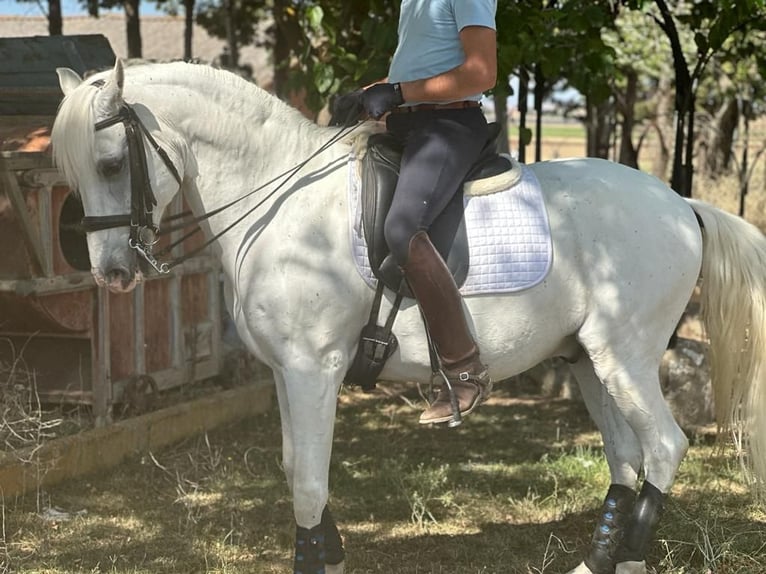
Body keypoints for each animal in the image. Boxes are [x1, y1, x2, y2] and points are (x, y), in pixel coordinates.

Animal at [51, 62, 766, 574]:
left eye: (110, 164)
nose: (112, 274)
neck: (282, 200)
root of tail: (682, 204)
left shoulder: (313, 370)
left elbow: (307, 481)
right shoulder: (287, 372)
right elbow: (294, 468)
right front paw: (330, 556)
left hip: (626, 355)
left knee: (664, 448)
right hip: (590, 359)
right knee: (625, 459)